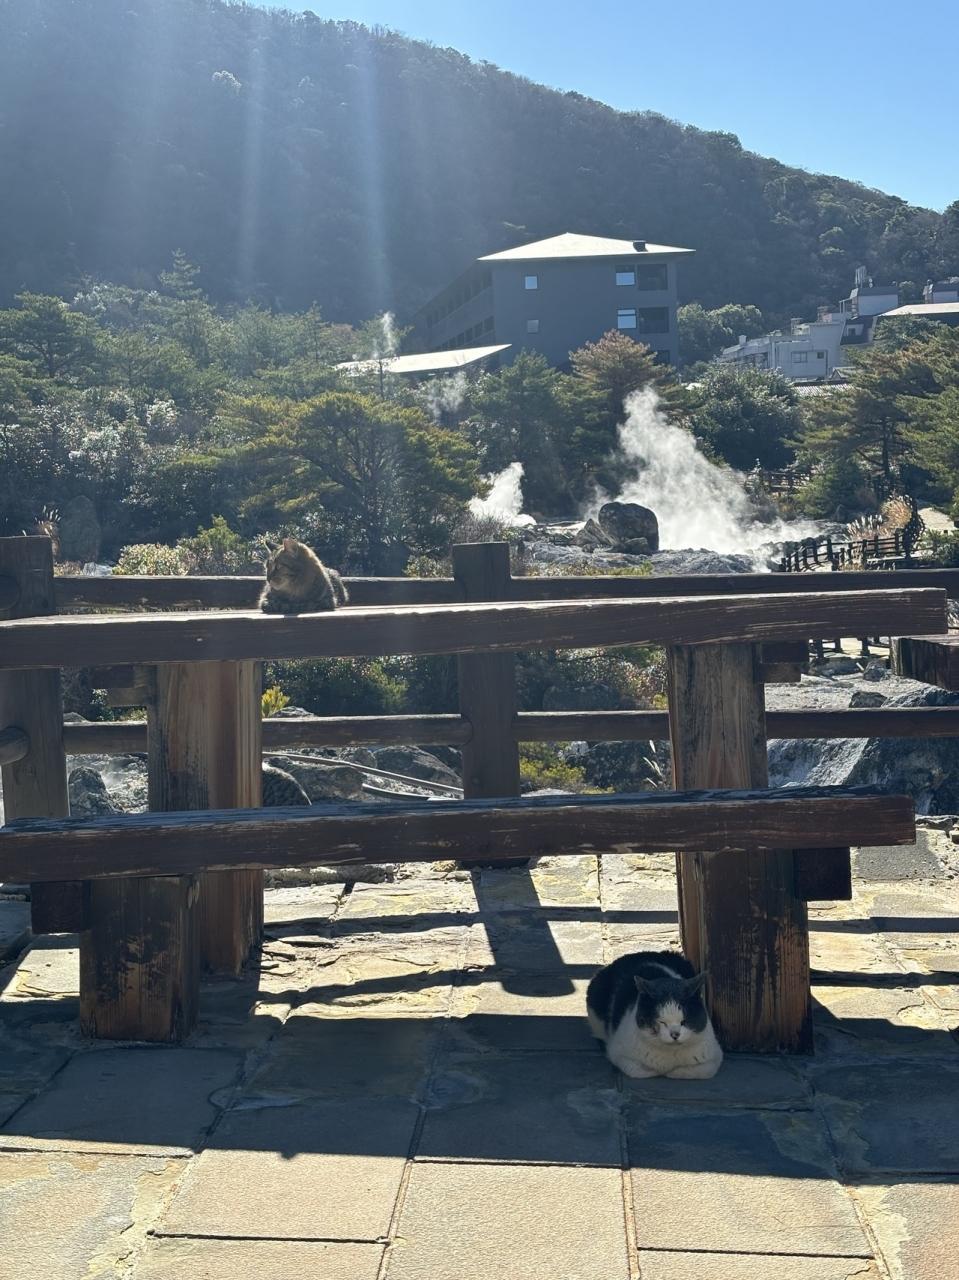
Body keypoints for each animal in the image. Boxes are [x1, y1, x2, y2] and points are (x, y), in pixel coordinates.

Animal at [586, 949, 722, 1080]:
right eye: (662, 1021)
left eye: (684, 1021)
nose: (675, 1034)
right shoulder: (618, 1054)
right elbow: (641, 1070)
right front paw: (660, 1070)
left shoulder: (714, 1056)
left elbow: (694, 1071)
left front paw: (671, 1071)